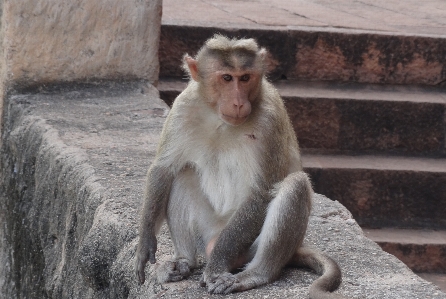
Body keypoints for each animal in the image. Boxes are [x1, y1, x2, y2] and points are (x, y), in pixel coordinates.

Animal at [135, 34, 344, 298]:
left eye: (245, 78)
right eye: (226, 78)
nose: (237, 103)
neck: (219, 118)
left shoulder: (269, 118)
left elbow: (260, 193)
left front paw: (215, 268)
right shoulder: (184, 105)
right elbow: (164, 169)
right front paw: (145, 242)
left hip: (247, 247)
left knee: (295, 185)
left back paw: (254, 274)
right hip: (207, 228)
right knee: (183, 174)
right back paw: (184, 262)